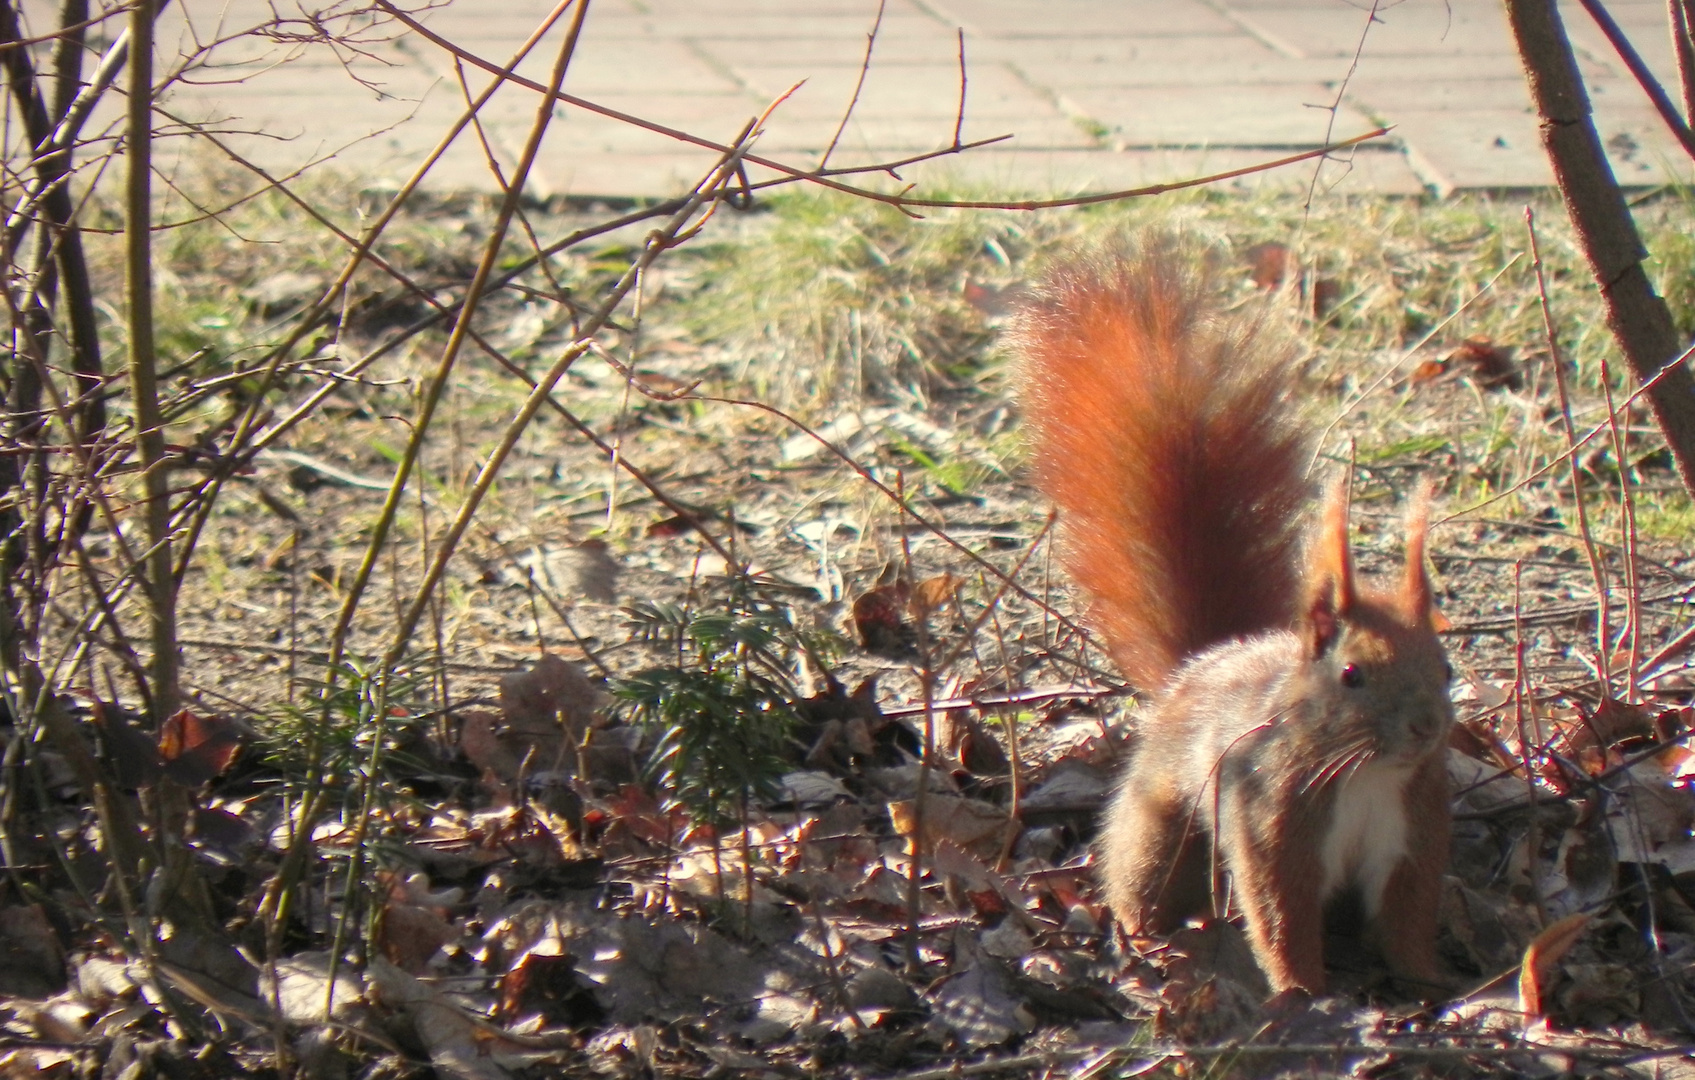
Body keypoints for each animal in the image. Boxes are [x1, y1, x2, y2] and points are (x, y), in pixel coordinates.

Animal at [1010, 235, 1450, 996]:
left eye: (1447, 669)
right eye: (1352, 675)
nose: (1425, 727)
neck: (1366, 773)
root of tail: (1204, 661)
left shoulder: (1412, 835)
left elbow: (1406, 918)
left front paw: (1431, 982)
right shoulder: (1271, 820)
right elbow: (1280, 916)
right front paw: (1304, 993)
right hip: (1162, 829)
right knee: (1141, 879)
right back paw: (1142, 941)